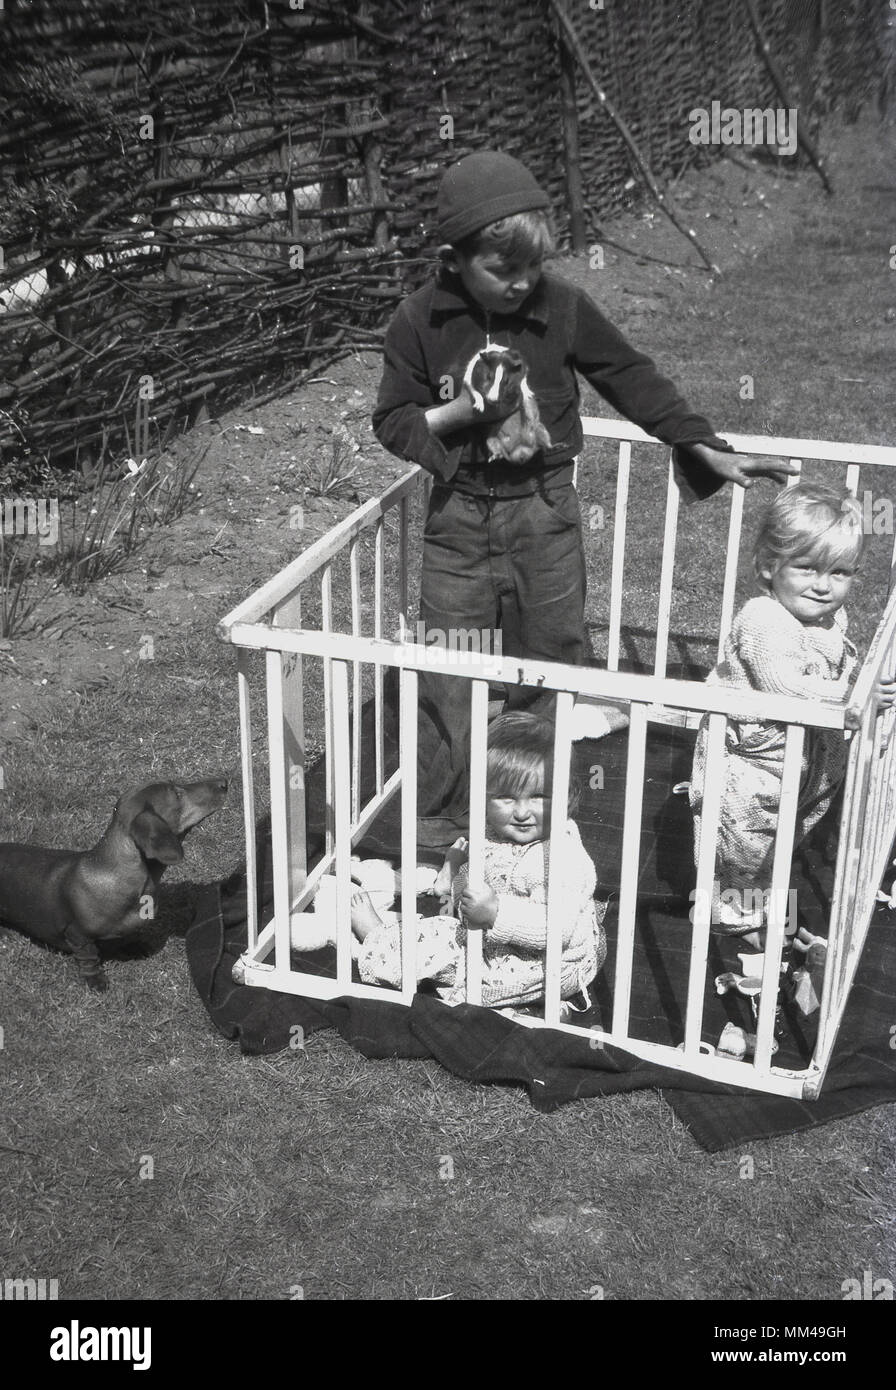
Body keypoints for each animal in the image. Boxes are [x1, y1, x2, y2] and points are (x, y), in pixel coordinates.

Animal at [0, 772, 227, 989]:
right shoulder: (78, 935)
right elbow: (89, 959)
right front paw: (96, 980)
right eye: (177, 794)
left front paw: (134, 946)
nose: (224, 782)